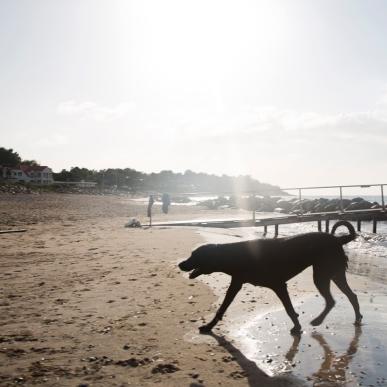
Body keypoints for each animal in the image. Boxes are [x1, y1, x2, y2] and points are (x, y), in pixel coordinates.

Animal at [179, 221, 364, 336]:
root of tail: (339, 239)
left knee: (331, 301)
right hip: (335, 274)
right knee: (352, 296)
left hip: (321, 275)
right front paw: (209, 326)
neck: (233, 255)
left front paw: (297, 327)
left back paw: (318, 321)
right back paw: (357, 318)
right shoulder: (236, 283)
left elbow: (289, 310)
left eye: (195, 255)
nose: (181, 264)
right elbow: (222, 308)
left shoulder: (279, 285)